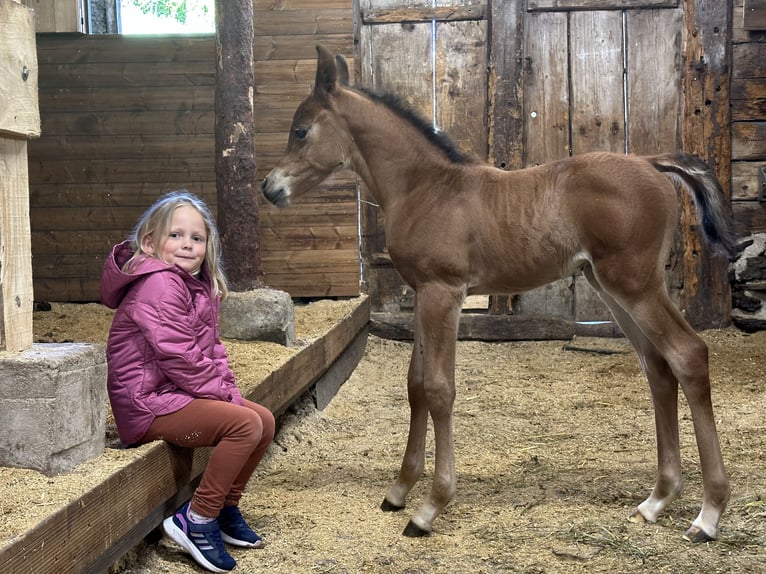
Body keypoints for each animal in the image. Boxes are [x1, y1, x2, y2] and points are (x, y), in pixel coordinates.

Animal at [264, 46, 736, 544]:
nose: (269, 187)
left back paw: (707, 514)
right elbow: (415, 386)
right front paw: (399, 491)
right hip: (612, 288)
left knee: (687, 354)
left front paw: (430, 507)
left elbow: (439, 389)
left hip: (636, 284)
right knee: (657, 367)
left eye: (301, 130)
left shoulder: (444, 292)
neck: (425, 188)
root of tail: (651, 162)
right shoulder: (423, 295)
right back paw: (656, 501)